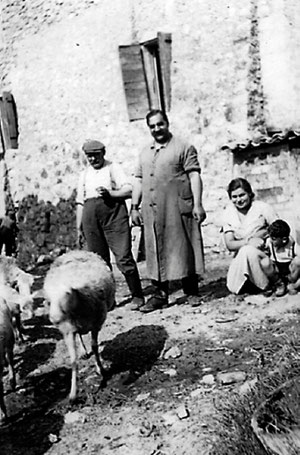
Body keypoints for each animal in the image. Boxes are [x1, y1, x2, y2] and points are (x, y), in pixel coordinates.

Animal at [42, 249, 115, 402]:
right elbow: (73, 361)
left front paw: (101, 370)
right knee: (80, 336)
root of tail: (75, 251)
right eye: (49, 300)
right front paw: (73, 394)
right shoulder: (68, 331)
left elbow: (95, 347)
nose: (54, 319)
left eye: (67, 293)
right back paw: (83, 351)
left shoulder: (96, 324)